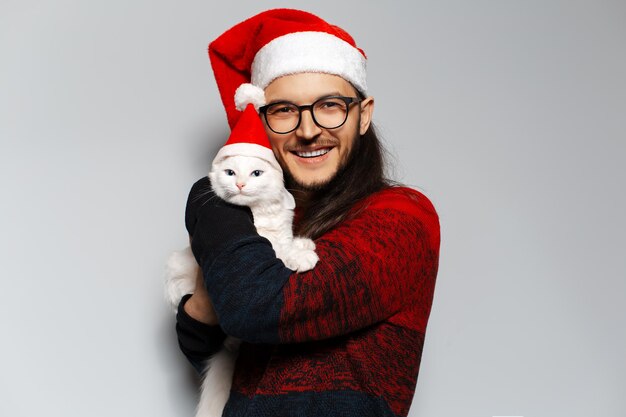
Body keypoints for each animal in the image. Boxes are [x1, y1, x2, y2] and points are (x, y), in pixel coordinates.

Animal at [165, 154, 316, 416]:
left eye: (256, 173)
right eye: (230, 173)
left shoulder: (280, 228)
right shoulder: (260, 240)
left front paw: (302, 244)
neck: (261, 212)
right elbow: (277, 251)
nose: (240, 185)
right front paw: (301, 256)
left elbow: (285, 242)